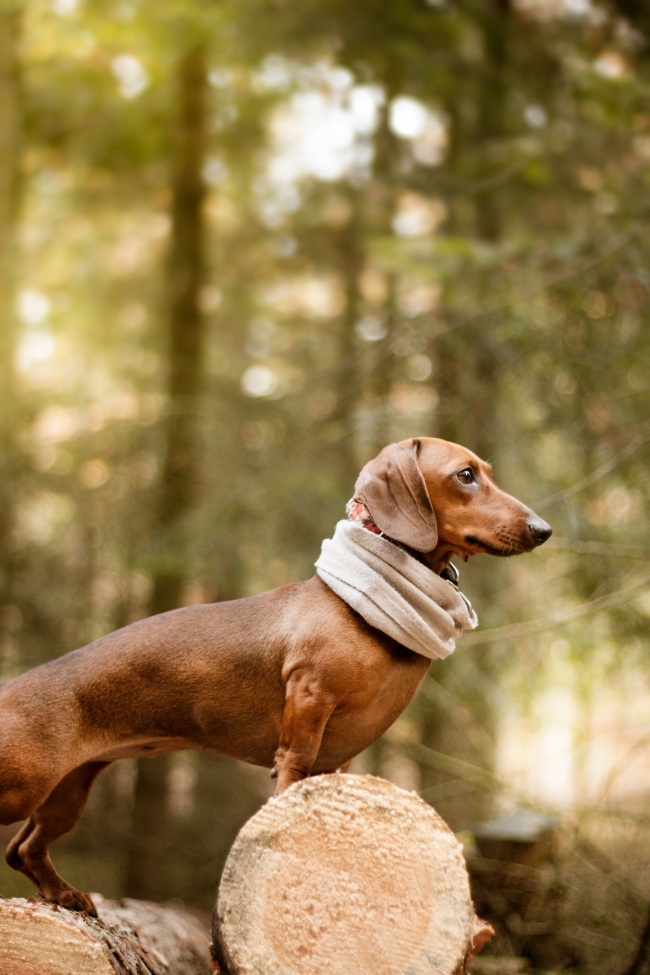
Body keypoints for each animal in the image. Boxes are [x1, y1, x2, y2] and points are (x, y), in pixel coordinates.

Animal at [0, 438, 548, 920]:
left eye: (488, 472)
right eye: (465, 475)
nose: (543, 529)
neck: (368, 605)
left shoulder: (341, 759)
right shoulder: (309, 701)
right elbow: (292, 772)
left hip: (67, 793)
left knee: (23, 849)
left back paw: (64, 894)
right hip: (23, 788)